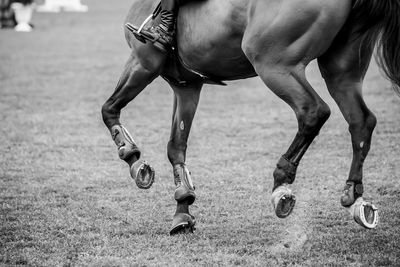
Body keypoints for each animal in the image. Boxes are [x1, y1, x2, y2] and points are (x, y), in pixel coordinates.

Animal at [101, 0, 400, 234]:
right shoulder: (186, 86)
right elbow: (176, 147)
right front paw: (183, 210)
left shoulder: (143, 63)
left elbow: (109, 109)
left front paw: (133, 159)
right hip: (341, 71)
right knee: (361, 121)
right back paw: (355, 195)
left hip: (274, 65)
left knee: (313, 111)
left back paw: (282, 181)